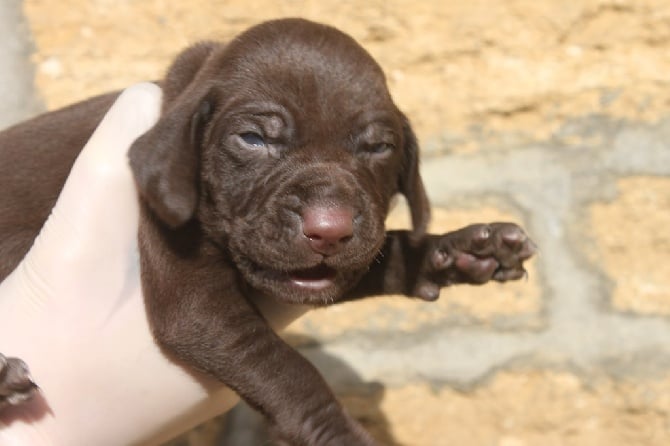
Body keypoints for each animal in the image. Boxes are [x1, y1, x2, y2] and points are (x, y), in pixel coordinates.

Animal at [0, 18, 536, 446]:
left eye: (379, 147)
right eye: (253, 139)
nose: (329, 230)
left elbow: (383, 251)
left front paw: (462, 250)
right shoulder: (194, 301)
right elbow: (288, 372)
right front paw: (340, 435)